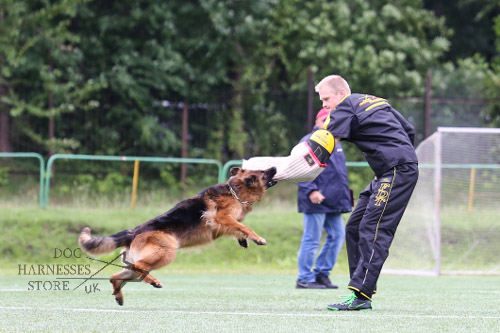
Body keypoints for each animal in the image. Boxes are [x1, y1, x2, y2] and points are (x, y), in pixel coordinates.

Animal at [77, 167, 278, 304]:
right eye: (263, 172)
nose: (275, 167)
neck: (235, 191)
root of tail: (133, 232)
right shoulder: (221, 218)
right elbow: (244, 226)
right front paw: (257, 238)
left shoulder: (225, 223)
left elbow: (239, 227)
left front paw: (243, 240)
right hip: (166, 252)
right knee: (138, 267)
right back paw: (154, 281)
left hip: (143, 262)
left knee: (116, 276)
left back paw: (120, 296)